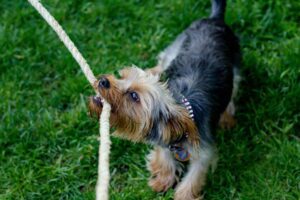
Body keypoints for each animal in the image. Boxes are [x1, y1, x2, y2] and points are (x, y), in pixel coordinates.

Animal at [89, 0, 241, 199]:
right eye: (122, 76)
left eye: (134, 96)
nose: (103, 81)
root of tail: (214, 19)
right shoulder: (164, 141)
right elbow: (165, 158)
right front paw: (162, 180)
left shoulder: (203, 153)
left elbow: (193, 178)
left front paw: (183, 195)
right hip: (176, 48)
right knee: (162, 62)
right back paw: (153, 71)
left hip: (235, 68)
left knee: (233, 91)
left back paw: (227, 118)